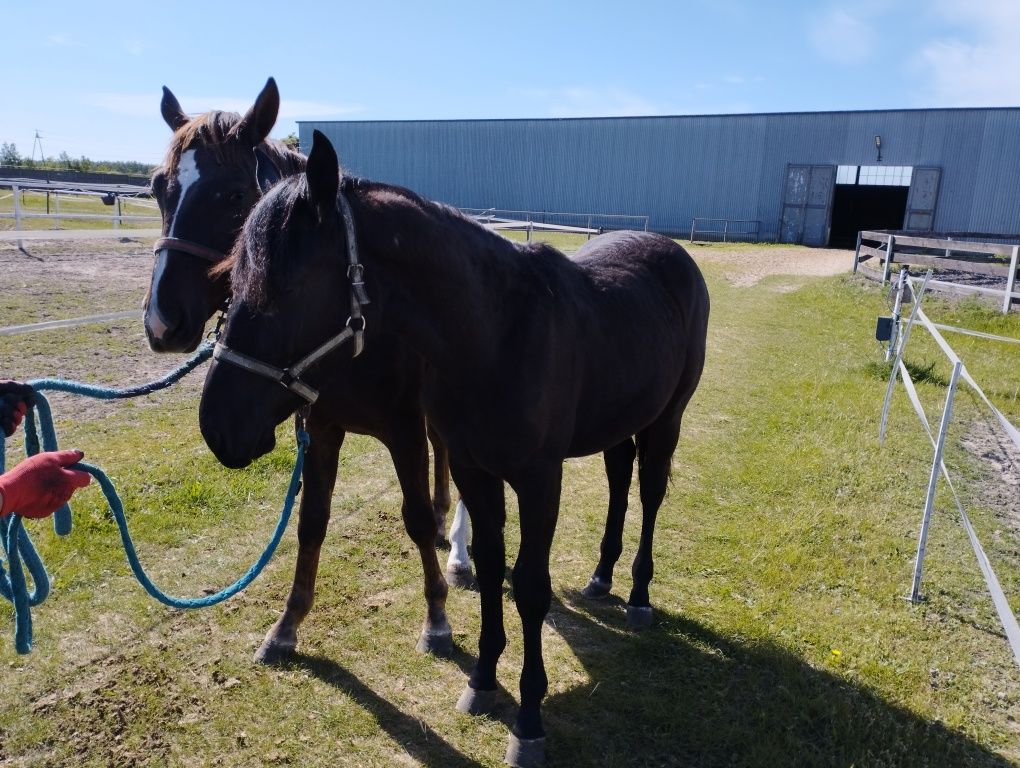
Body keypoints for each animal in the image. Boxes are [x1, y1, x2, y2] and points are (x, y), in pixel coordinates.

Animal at [141, 81, 452, 660]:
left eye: (234, 196)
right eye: (157, 189)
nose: (161, 321)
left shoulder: (403, 429)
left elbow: (415, 519)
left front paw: (437, 616)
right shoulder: (322, 428)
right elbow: (311, 522)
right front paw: (287, 624)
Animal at [198, 131, 709, 762]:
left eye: (284, 287)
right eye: (232, 279)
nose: (218, 426)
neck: (496, 332)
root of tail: (675, 254)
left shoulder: (539, 479)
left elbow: (530, 587)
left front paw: (528, 722)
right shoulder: (471, 467)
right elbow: (490, 569)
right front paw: (483, 681)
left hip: (666, 420)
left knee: (651, 493)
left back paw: (638, 595)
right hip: (618, 422)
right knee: (619, 483)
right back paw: (601, 577)